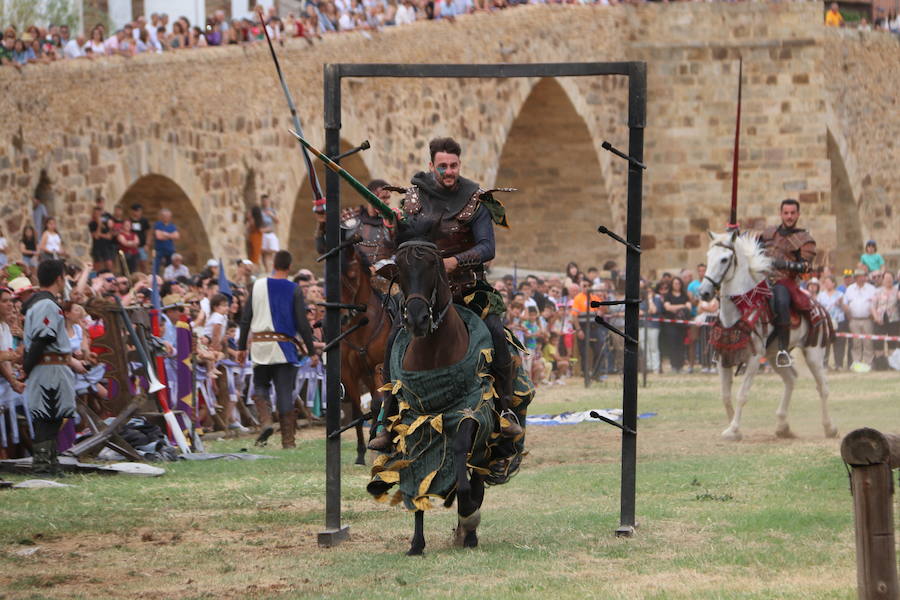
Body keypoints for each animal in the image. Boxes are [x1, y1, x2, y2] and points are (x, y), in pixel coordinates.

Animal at [696, 232, 836, 442]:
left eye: (724, 259)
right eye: (708, 256)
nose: (704, 292)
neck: (740, 310)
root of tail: (819, 306)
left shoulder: (753, 359)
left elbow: (741, 395)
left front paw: (734, 429)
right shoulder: (723, 357)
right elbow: (725, 395)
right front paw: (733, 427)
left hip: (813, 353)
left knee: (823, 388)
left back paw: (829, 428)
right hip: (774, 357)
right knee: (790, 380)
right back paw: (782, 427)